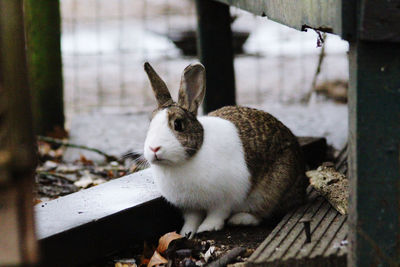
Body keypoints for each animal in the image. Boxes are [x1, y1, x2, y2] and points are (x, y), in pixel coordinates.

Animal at [143, 61, 306, 238]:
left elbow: (217, 214)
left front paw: (207, 228)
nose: (154, 148)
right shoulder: (190, 206)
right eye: (149, 124)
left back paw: (240, 219)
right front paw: (187, 232)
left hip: (272, 189)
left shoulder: (225, 199)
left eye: (178, 124)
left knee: (265, 212)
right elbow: (192, 218)